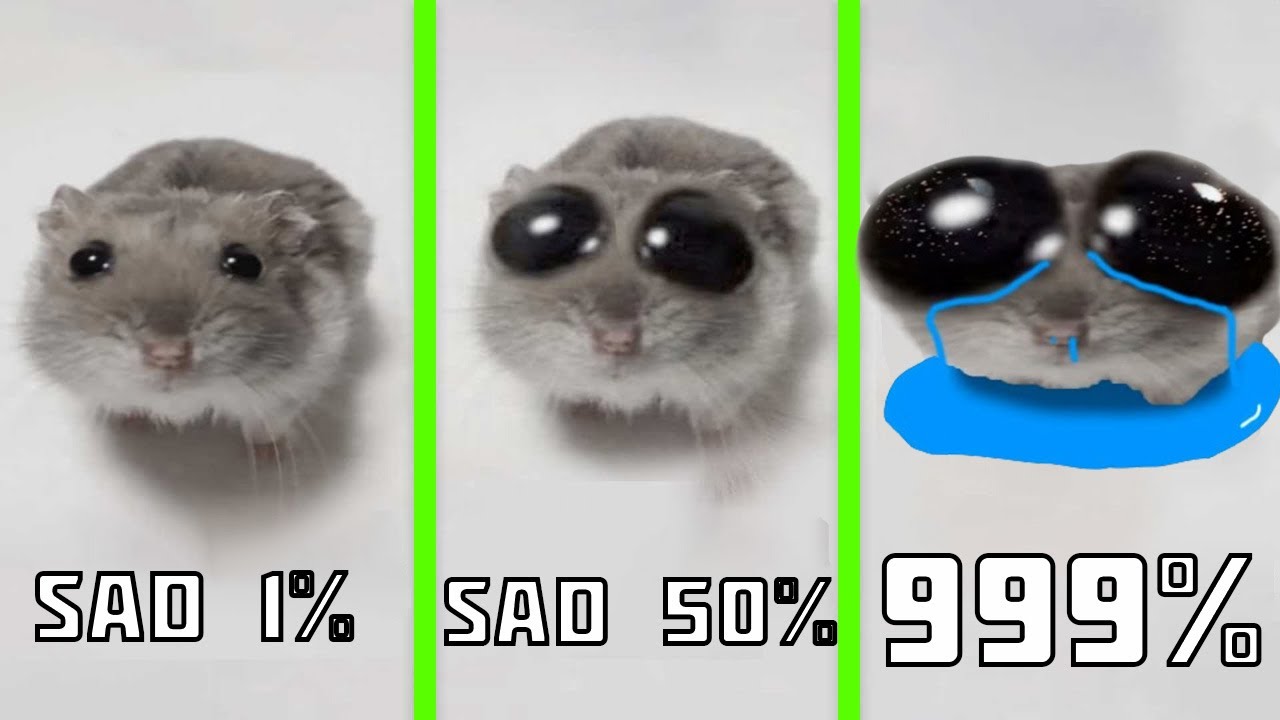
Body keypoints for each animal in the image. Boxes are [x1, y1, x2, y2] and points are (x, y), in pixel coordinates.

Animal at [22, 139, 373, 452]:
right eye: (85, 260)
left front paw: (271, 453)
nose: (167, 354)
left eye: (246, 263)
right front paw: (131, 421)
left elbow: (269, 421)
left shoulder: (306, 371)